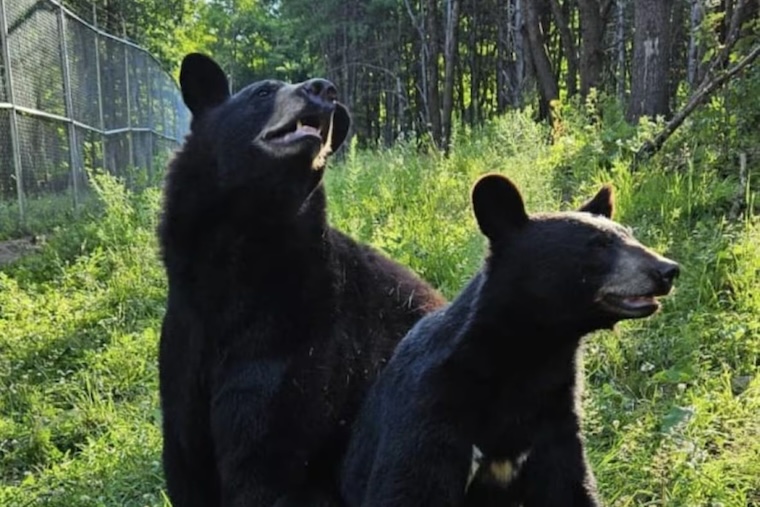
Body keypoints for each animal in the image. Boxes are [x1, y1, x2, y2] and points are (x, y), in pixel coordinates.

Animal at [156, 53, 446, 507]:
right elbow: (188, 460)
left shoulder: (297, 339)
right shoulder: (185, 343)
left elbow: (266, 455)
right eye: (262, 91)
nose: (324, 90)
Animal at [339, 173, 680, 507]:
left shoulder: (554, 421)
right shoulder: (431, 409)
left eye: (629, 235)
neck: (528, 354)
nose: (667, 269)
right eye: (598, 244)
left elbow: (571, 488)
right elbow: (410, 486)